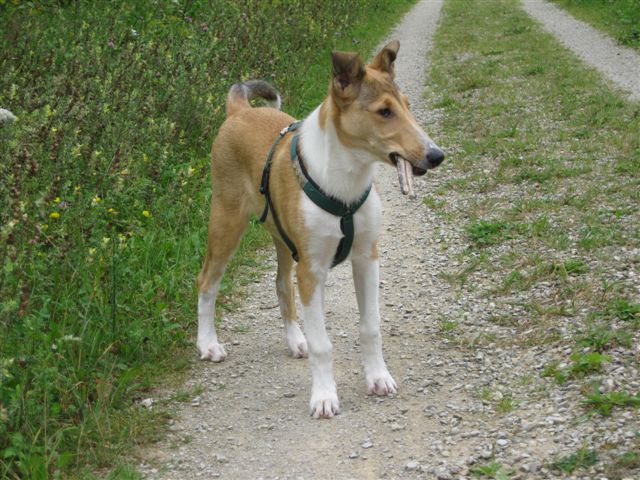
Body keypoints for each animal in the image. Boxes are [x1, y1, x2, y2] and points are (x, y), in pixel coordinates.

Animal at [197, 41, 444, 419]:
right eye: (384, 111)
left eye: (407, 105)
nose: (436, 155)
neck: (345, 182)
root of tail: (239, 111)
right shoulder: (312, 271)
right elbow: (323, 343)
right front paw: (325, 397)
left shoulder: (366, 258)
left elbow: (370, 326)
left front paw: (378, 378)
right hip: (226, 223)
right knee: (207, 281)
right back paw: (208, 344)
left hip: (282, 237)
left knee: (281, 284)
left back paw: (295, 340)